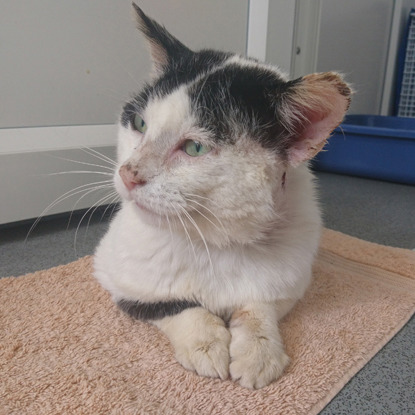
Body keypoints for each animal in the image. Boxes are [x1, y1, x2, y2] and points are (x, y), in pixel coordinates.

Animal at [94, 4, 352, 390]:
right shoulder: (116, 275)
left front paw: (260, 349)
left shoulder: (291, 282)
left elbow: (258, 305)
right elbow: (170, 304)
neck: (213, 241)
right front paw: (205, 343)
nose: (128, 173)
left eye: (195, 148)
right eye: (139, 124)